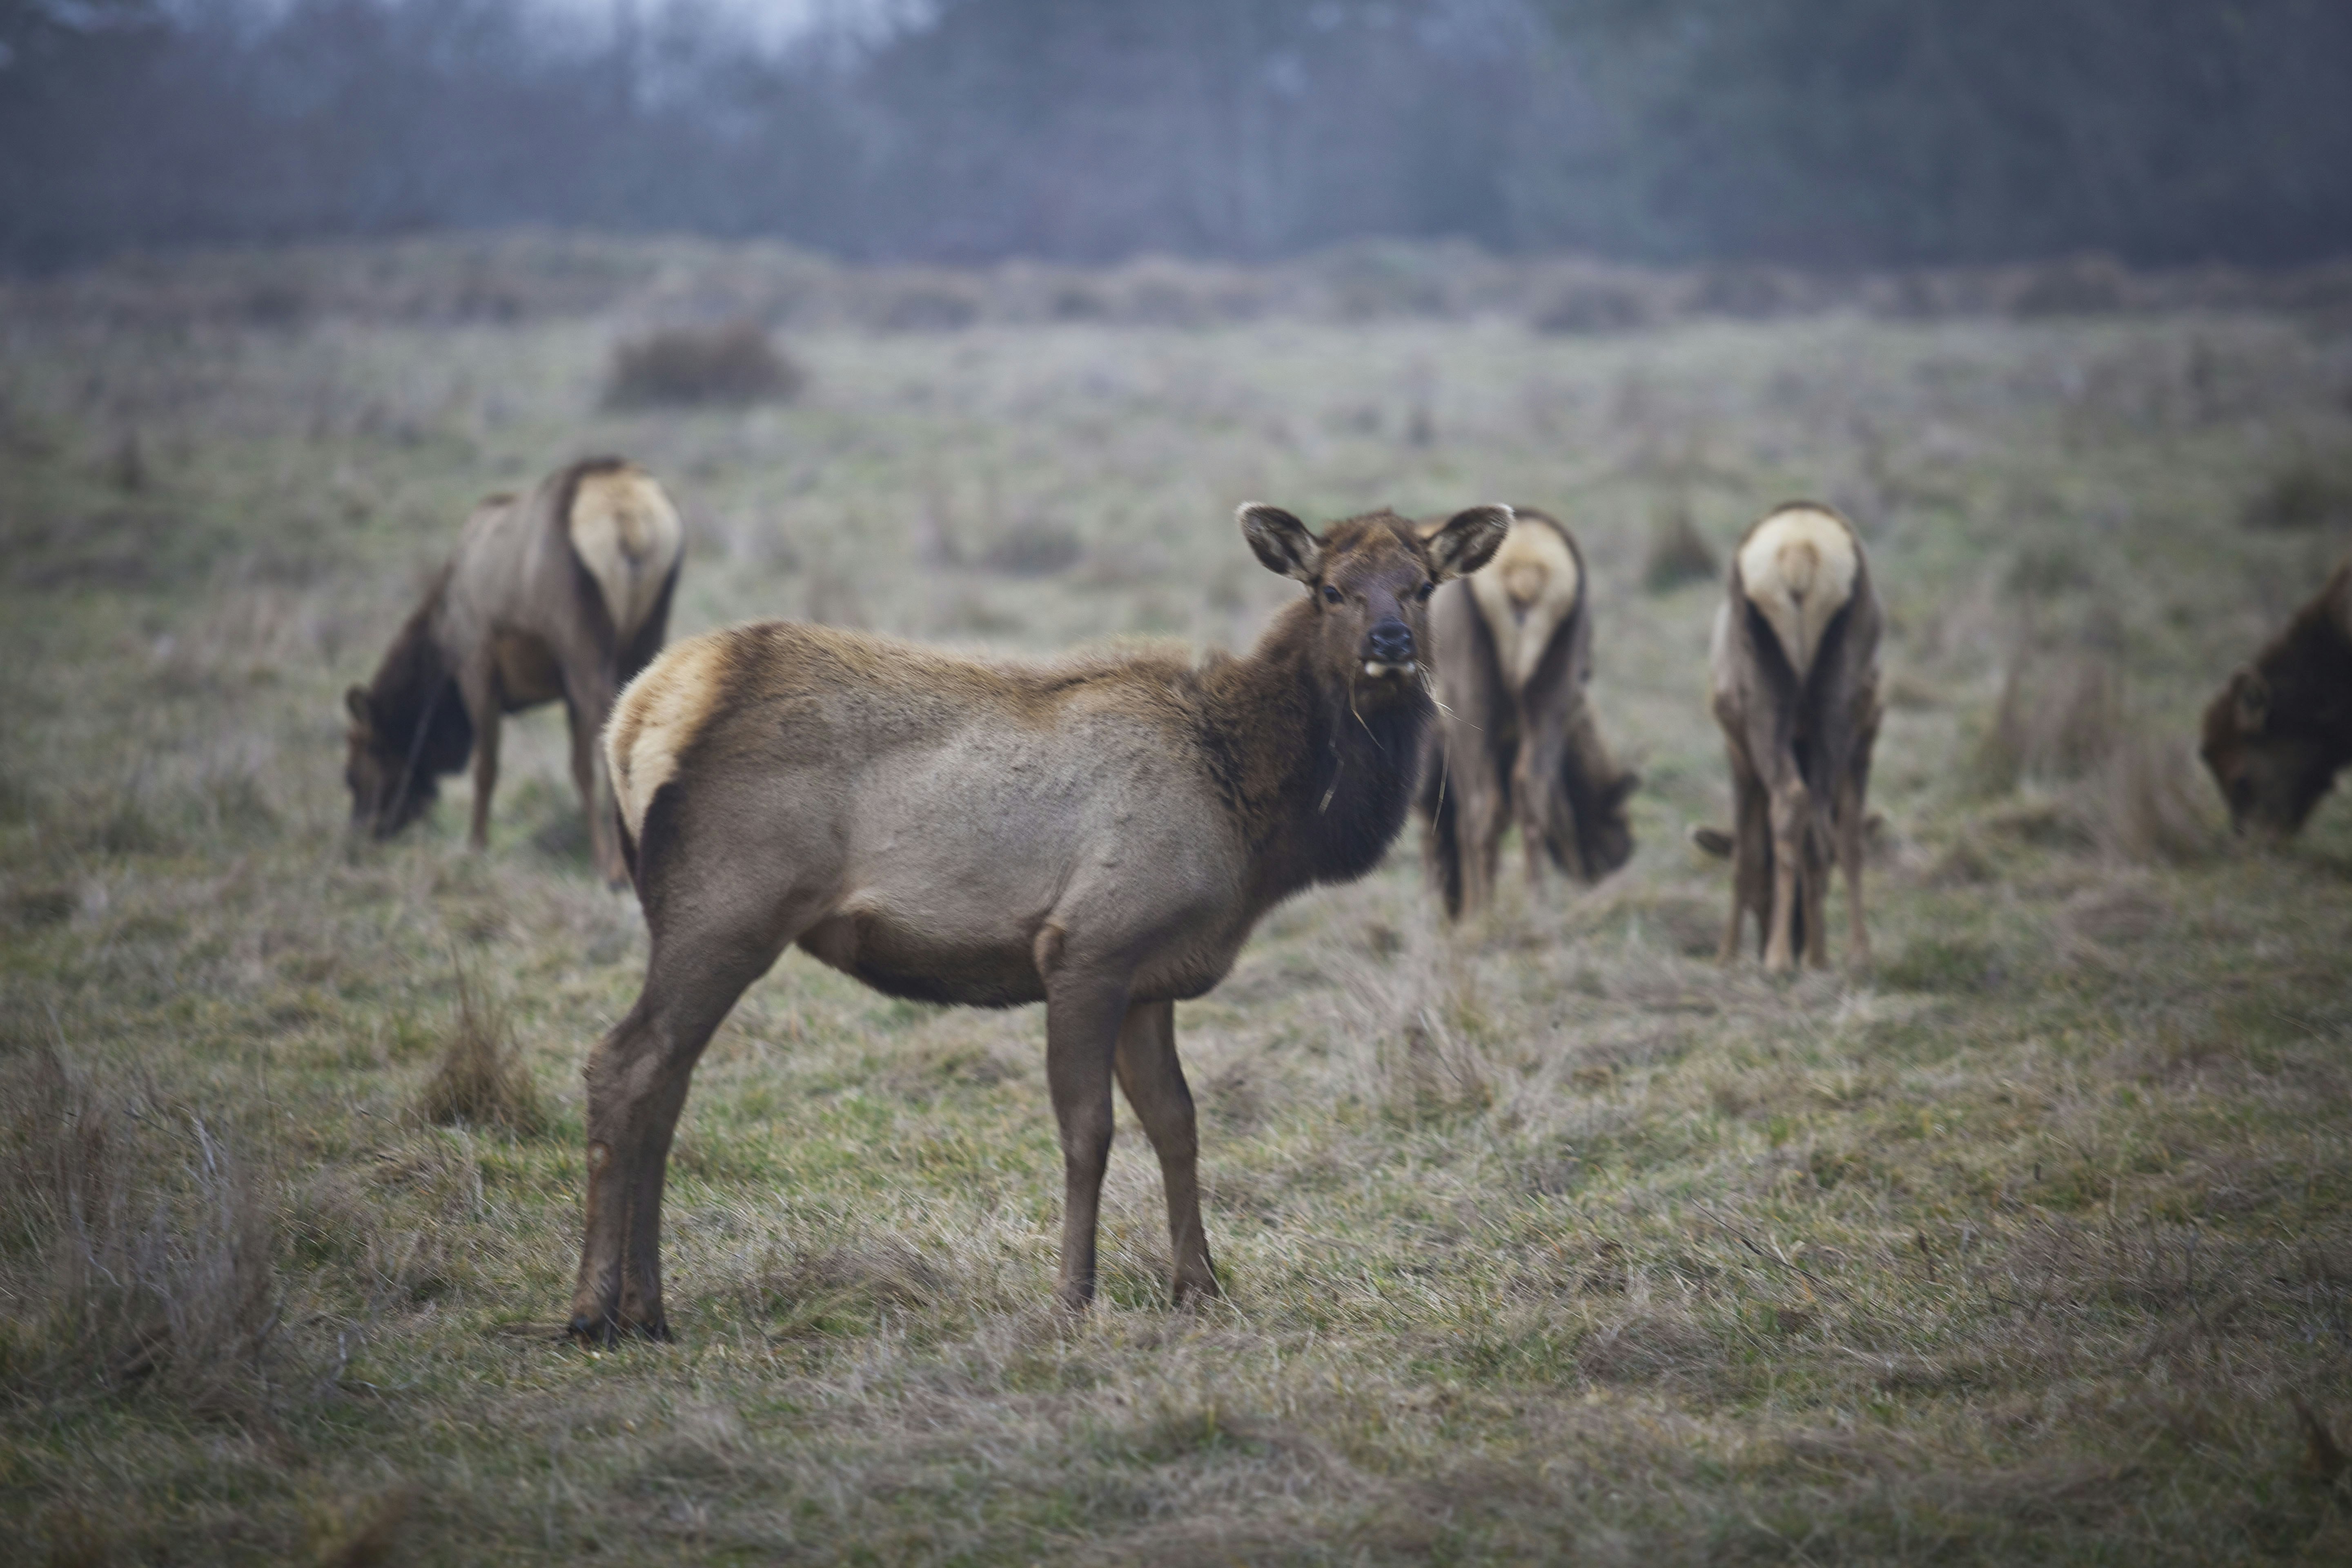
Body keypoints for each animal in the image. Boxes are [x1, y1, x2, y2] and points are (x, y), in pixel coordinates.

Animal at [343, 457, 682, 888]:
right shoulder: (561, 692)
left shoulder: (476, 664)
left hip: (583, 643)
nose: (362, 832)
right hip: (647, 632)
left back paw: (618, 870)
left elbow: (486, 768)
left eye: (354, 769)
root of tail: (630, 519)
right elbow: (577, 769)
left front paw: (475, 848)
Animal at [566, 504, 1511, 1341]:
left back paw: (649, 1310)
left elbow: (1178, 1123)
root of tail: (637, 716)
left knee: (669, 1082)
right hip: (729, 906)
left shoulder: (1153, 979)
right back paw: (593, 1314)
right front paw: (1073, 1297)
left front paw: (1200, 1288)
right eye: (1330, 589)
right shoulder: (1089, 946)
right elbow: (1088, 1130)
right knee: (624, 1063)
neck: (1255, 817)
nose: (1389, 645)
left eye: (1422, 587)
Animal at [1417, 507, 1637, 917]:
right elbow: (1556, 810)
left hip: (1466, 693)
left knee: (1483, 807)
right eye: (1611, 816)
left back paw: (1480, 914)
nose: (1623, 853)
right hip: (1550, 687)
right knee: (1528, 793)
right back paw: (1535, 906)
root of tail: (1524, 570)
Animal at [1708, 503, 1881, 972]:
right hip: (1837, 710)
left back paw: (1780, 959)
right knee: (1823, 823)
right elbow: (1846, 840)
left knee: (1791, 799)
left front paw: (1726, 954)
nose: (1799, 936)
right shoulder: (1863, 741)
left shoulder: (1737, 749)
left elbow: (1745, 851)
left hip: (1765, 715)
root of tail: (1800, 552)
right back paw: (1838, 955)